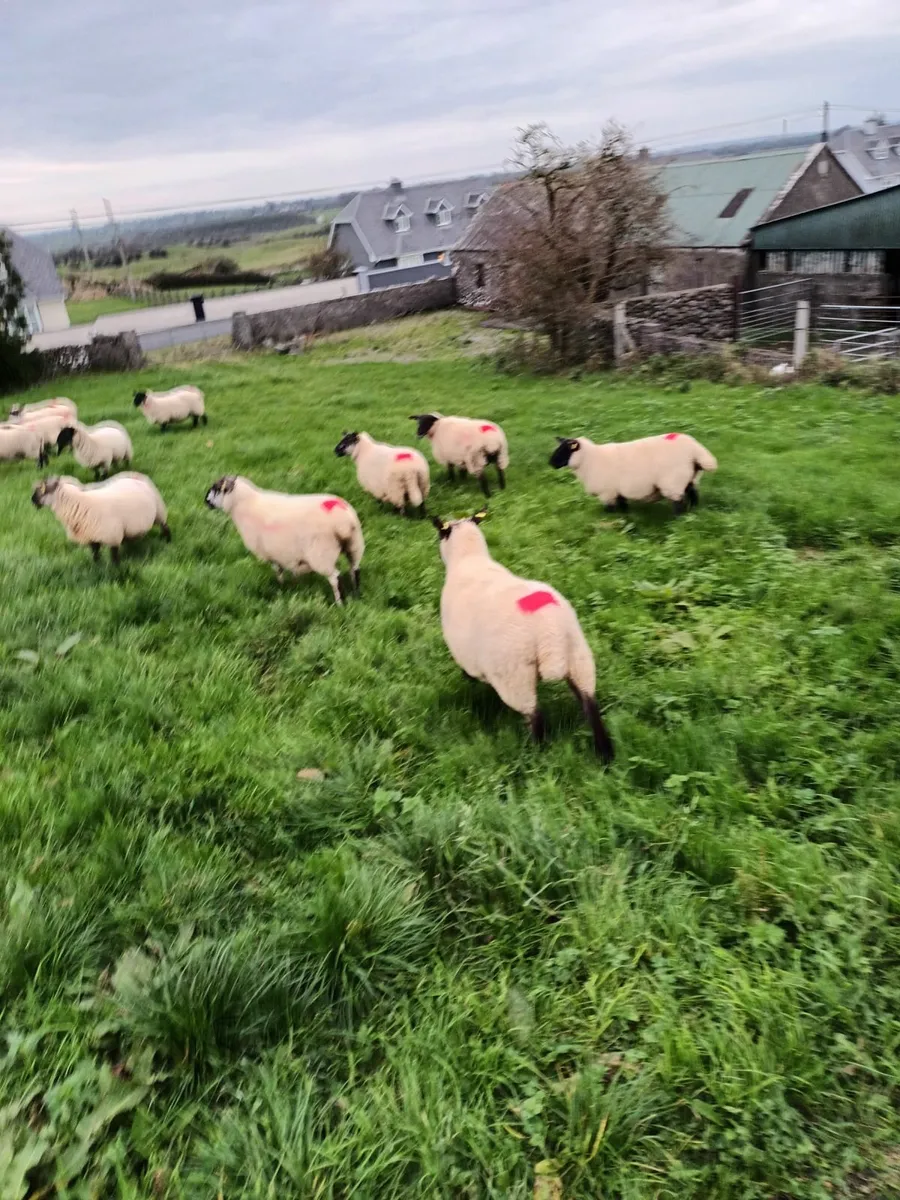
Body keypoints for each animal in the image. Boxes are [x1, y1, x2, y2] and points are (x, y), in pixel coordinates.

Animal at [31, 472, 171, 564]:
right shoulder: (91, 535)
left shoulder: (112, 535)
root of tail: (135, 476)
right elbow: (95, 553)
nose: (32, 500)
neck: (78, 502)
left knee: (165, 527)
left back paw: (168, 541)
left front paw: (115, 568)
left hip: (159, 511)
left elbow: (114, 556)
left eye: (39, 491)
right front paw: (96, 565)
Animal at [204, 475, 364, 605]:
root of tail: (344, 522)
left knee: (335, 578)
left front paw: (281, 586)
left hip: (322, 554)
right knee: (354, 570)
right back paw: (356, 594)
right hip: (355, 545)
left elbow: (278, 570)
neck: (244, 504)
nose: (205, 500)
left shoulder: (272, 552)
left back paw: (340, 603)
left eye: (216, 488)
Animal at [432, 507, 614, 761]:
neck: (469, 559)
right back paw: (605, 754)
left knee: (536, 716)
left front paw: (469, 681)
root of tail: (550, 631)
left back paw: (536, 755)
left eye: (441, 534)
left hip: (515, 674)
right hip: (579, 656)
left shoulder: (463, 650)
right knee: (590, 705)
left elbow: (467, 671)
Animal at [549, 432, 718, 516]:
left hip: (673, 481)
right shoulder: (616, 491)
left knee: (679, 503)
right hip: (689, 476)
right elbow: (623, 506)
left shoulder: (607, 492)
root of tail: (696, 449)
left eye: (565, 450)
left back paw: (678, 520)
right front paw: (624, 517)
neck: (590, 459)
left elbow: (610, 509)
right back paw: (693, 512)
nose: (551, 463)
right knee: (693, 494)